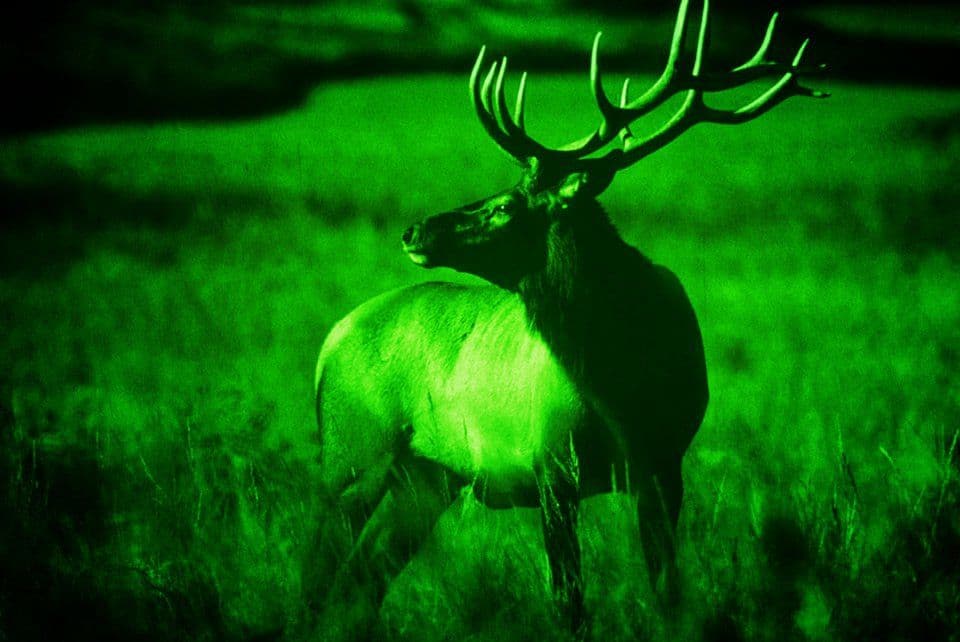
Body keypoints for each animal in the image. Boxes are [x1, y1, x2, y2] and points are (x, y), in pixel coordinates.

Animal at [312, 0, 825, 636]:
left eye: (505, 205)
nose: (414, 230)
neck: (625, 385)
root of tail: (330, 341)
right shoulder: (552, 463)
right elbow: (568, 603)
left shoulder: (663, 467)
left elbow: (667, 591)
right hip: (351, 457)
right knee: (318, 572)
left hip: (425, 477)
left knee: (363, 581)